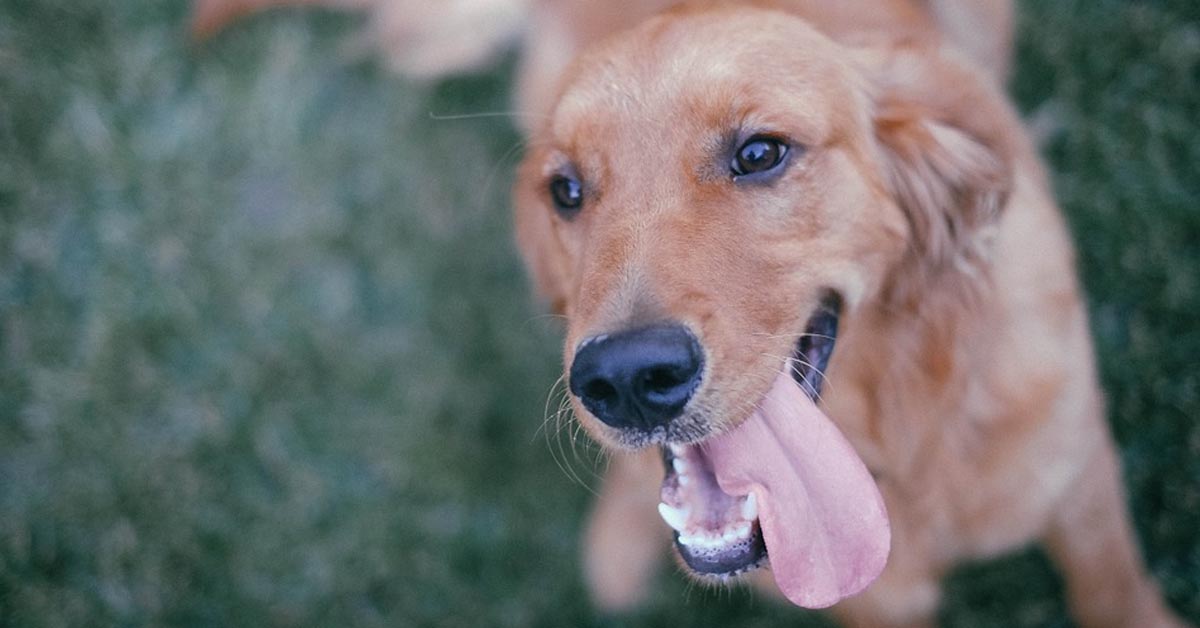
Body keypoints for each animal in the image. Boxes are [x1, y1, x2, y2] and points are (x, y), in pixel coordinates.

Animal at [192, 2, 1185, 624]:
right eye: (565, 189)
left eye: (761, 152)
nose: (627, 381)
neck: (901, 439)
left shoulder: (1080, 474)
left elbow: (1111, 588)